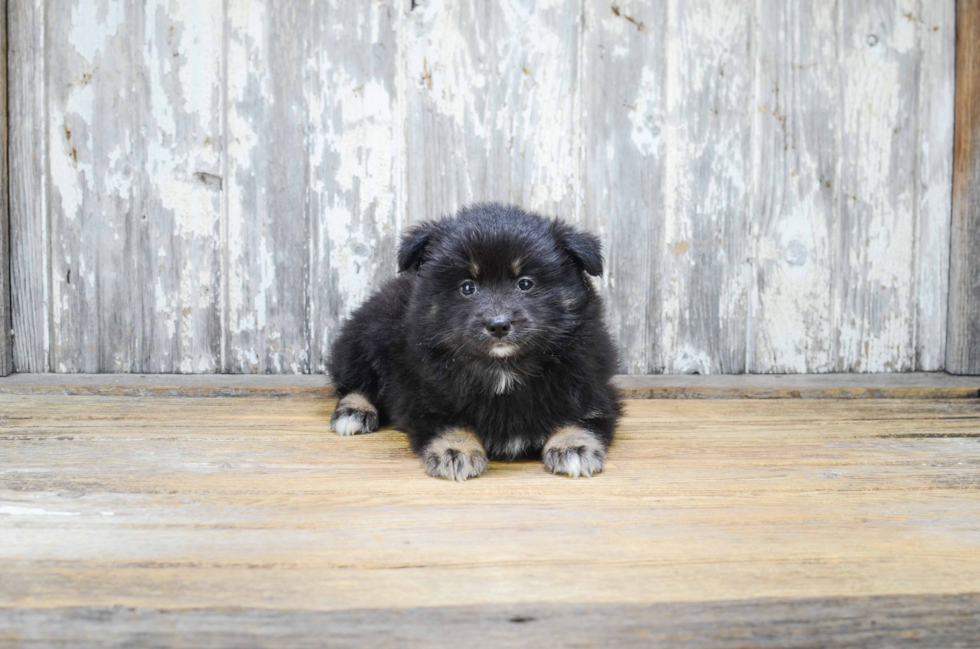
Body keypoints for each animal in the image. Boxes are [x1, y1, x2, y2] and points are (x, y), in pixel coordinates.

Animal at [328, 204, 620, 480]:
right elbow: (448, 421)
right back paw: (354, 412)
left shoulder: (590, 385)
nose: (498, 325)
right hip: (364, 339)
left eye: (525, 284)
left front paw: (573, 446)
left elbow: (584, 415)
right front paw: (456, 449)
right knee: (355, 383)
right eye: (467, 287)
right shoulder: (424, 396)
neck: (503, 369)